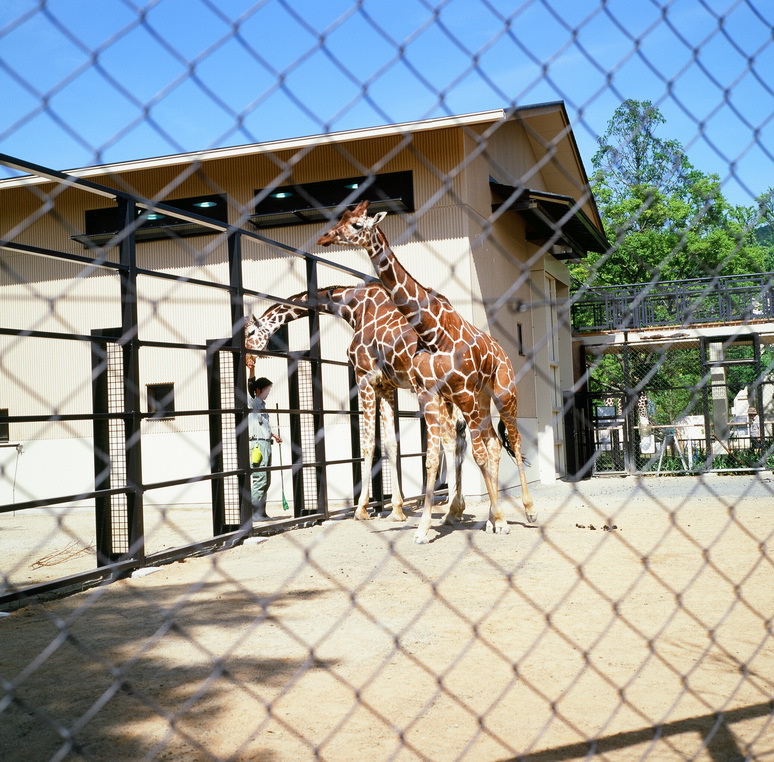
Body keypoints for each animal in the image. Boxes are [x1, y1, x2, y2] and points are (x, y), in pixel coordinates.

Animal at [246, 282, 470, 524]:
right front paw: (397, 509)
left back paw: (451, 510)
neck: (354, 308)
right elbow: (391, 444)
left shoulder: (364, 377)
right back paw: (455, 508)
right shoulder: (386, 386)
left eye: (250, 332)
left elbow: (369, 443)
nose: (248, 359)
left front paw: (361, 508)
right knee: (458, 438)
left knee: (451, 438)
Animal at [318, 199, 536, 544]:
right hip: (481, 399)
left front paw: (500, 521)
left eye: (357, 225)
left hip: (504, 393)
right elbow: (433, 458)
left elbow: (476, 454)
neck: (432, 332)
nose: (325, 237)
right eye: (341, 218)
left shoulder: (459, 393)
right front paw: (423, 529)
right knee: (492, 443)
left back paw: (525, 511)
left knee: (511, 441)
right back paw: (489, 517)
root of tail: (502, 352)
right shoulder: (431, 395)